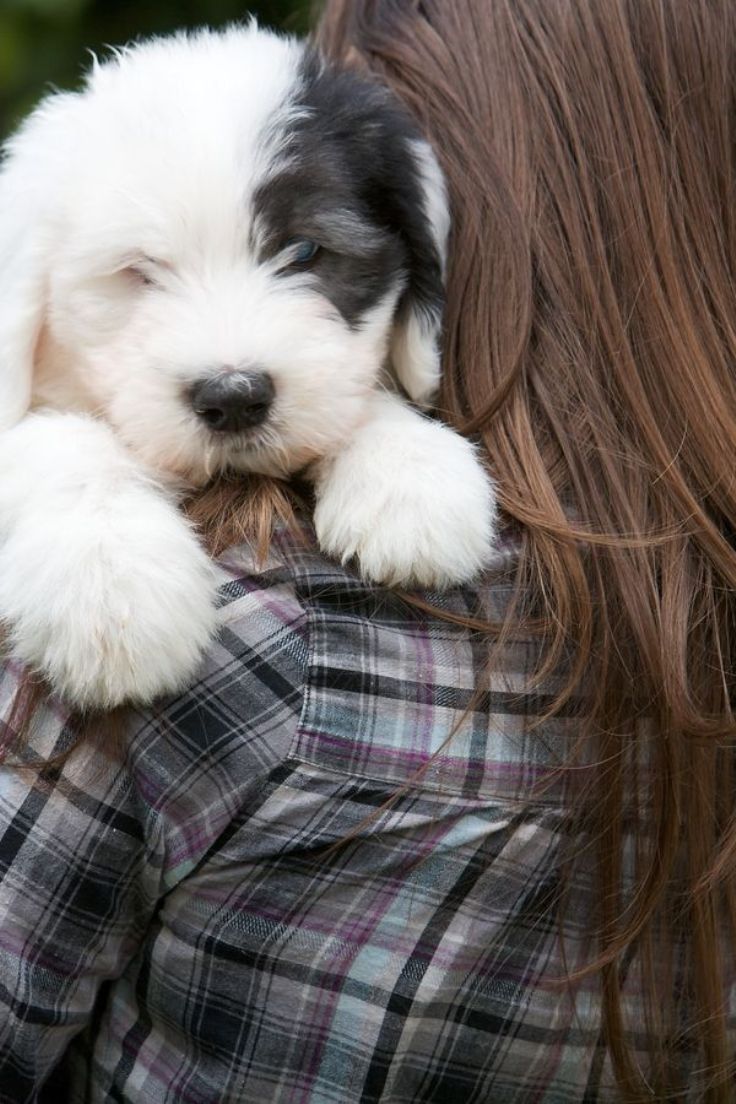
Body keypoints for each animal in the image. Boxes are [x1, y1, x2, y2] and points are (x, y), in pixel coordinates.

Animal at [0, 25, 498, 710]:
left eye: (306, 250)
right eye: (140, 270)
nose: (234, 397)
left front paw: (409, 473)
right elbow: (65, 445)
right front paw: (112, 582)